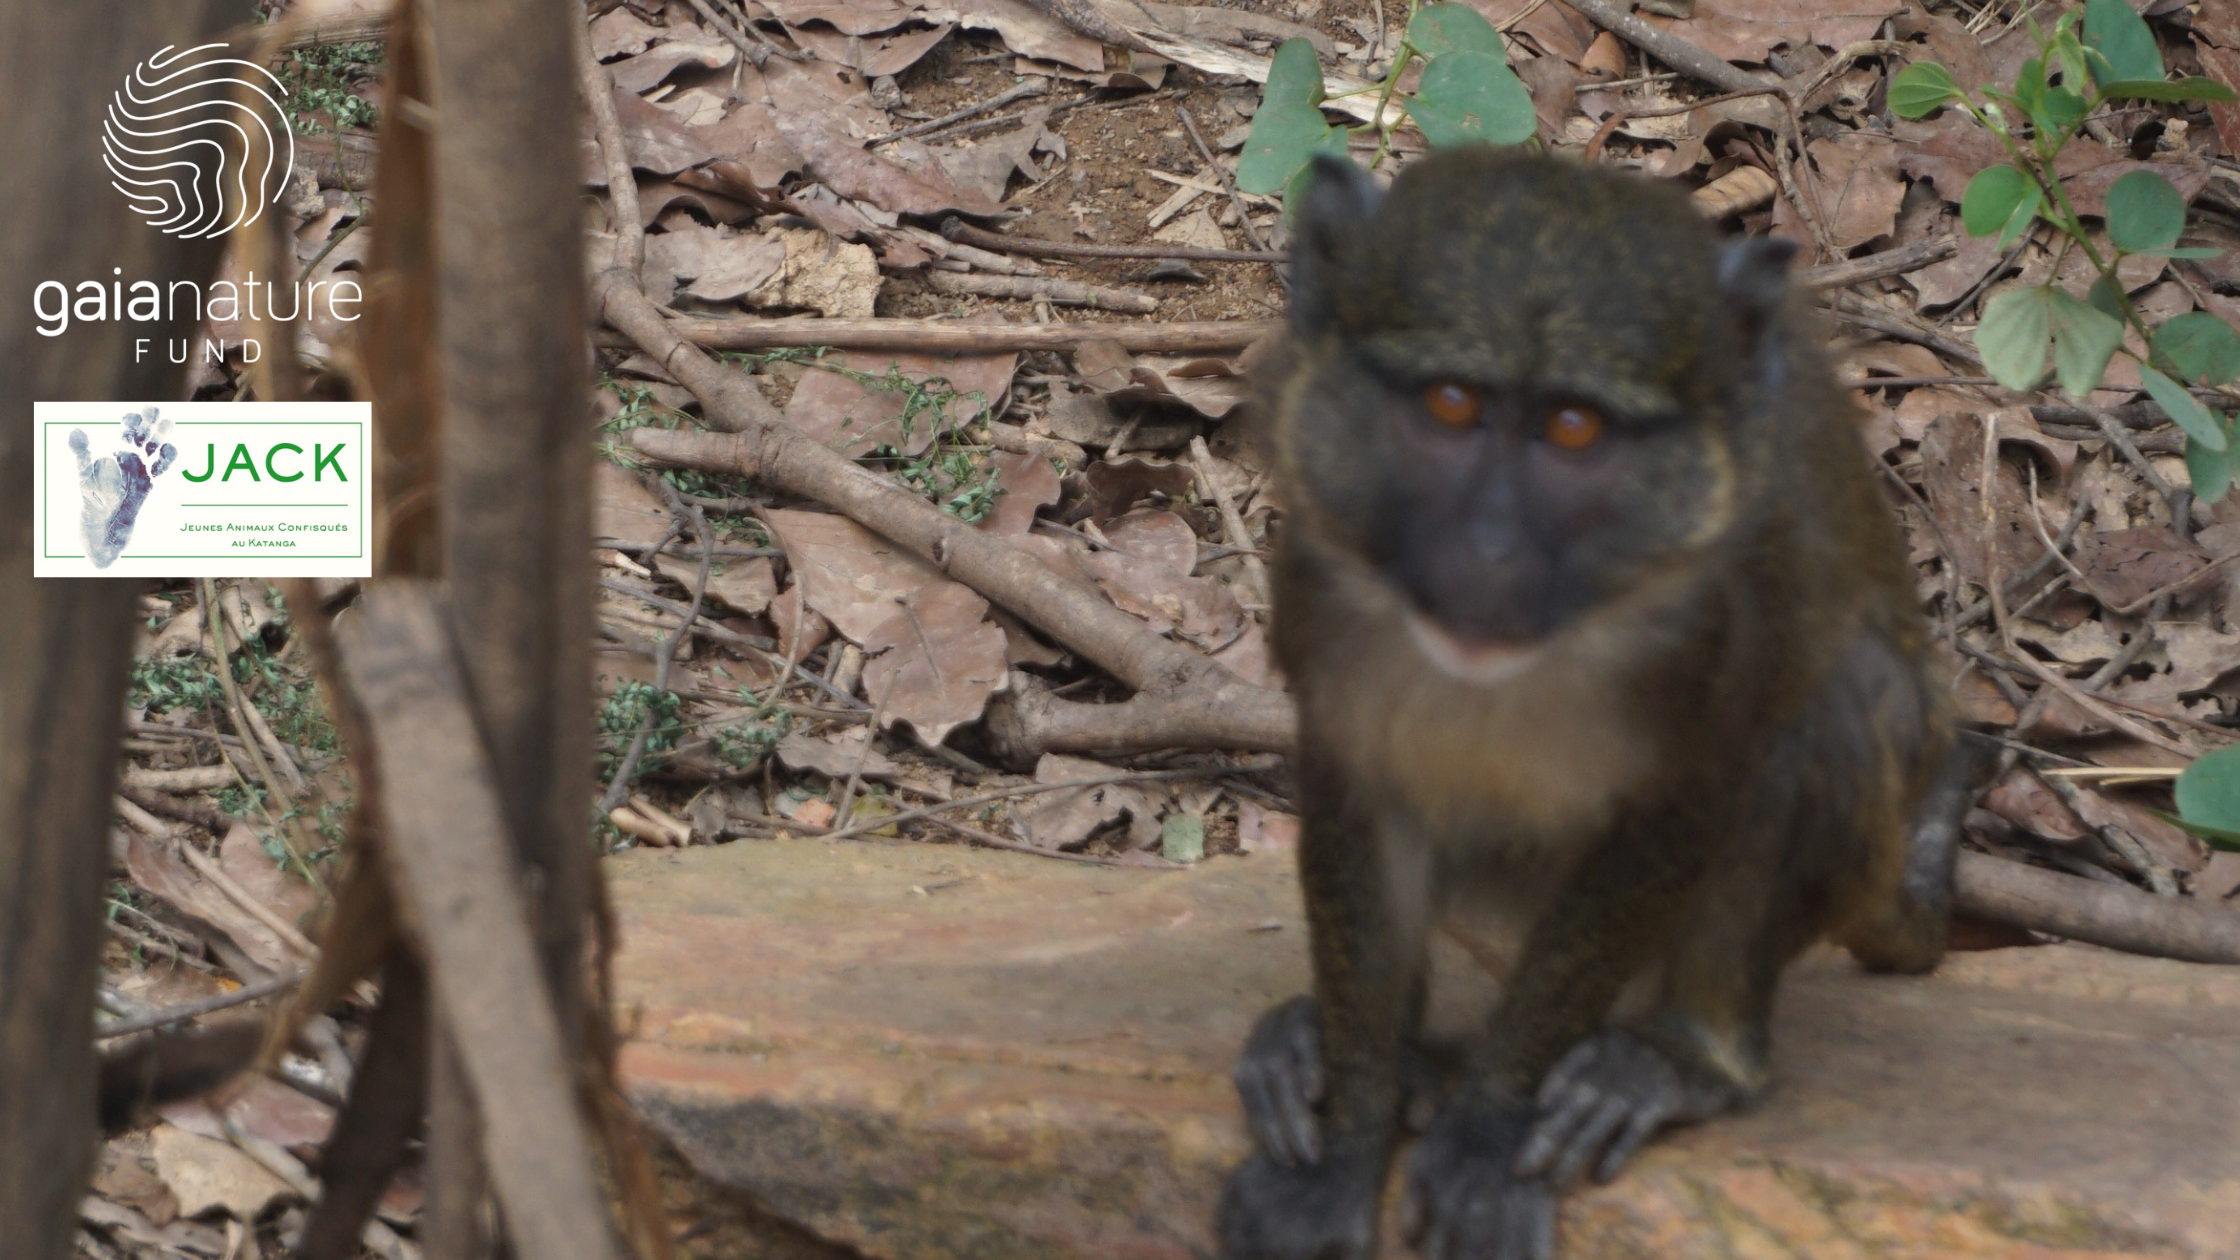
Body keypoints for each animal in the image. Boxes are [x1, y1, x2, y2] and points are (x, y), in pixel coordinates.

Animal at [1218, 152, 1971, 1255]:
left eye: (1574, 430)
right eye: (1450, 405)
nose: (1488, 554)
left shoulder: (1723, 645)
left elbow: (1685, 814)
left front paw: (1486, 1134)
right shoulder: (1322, 586)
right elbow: (1361, 809)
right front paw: (1350, 1134)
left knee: (1840, 705)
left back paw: (1684, 1058)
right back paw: (1380, 1049)